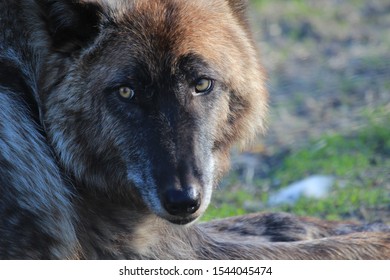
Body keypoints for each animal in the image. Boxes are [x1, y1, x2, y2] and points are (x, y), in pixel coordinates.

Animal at [0, 0, 390, 260]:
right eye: (127, 91)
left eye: (201, 84)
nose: (183, 200)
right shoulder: (150, 250)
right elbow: (326, 250)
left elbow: (266, 220)